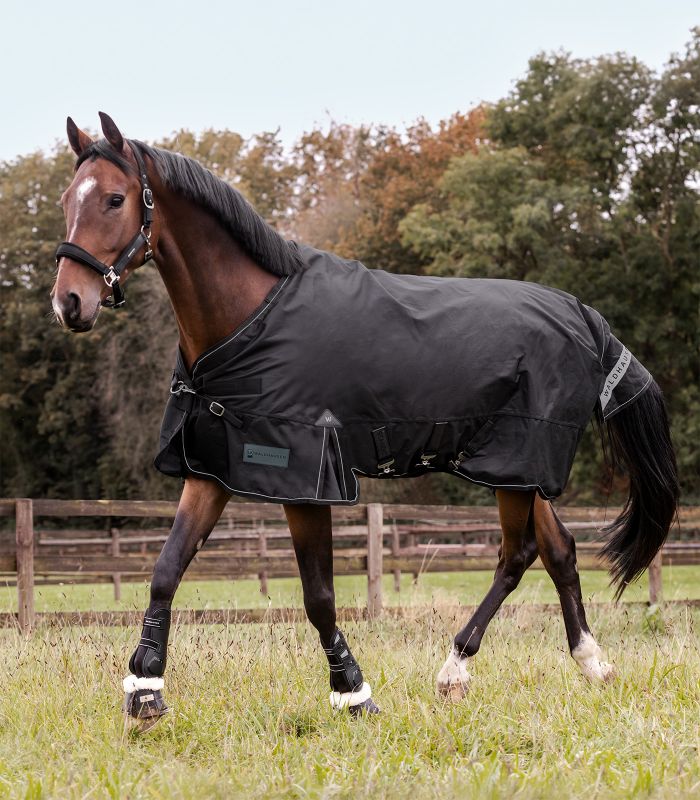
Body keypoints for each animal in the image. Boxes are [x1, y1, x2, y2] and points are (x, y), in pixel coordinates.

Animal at [52, 113, 679, 731]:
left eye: (113, 199)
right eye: (65, 199)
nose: (69, 304)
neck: (251, 317)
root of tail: (582, 314)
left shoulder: (305, 477)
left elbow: (319, 596)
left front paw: (353, 693)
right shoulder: (212, 468)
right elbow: (166, 569)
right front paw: (144, 692)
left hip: (518, 460)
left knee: (516, 554)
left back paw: (455, 670)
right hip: (519, 469)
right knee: (559, 550)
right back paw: (591, 662)